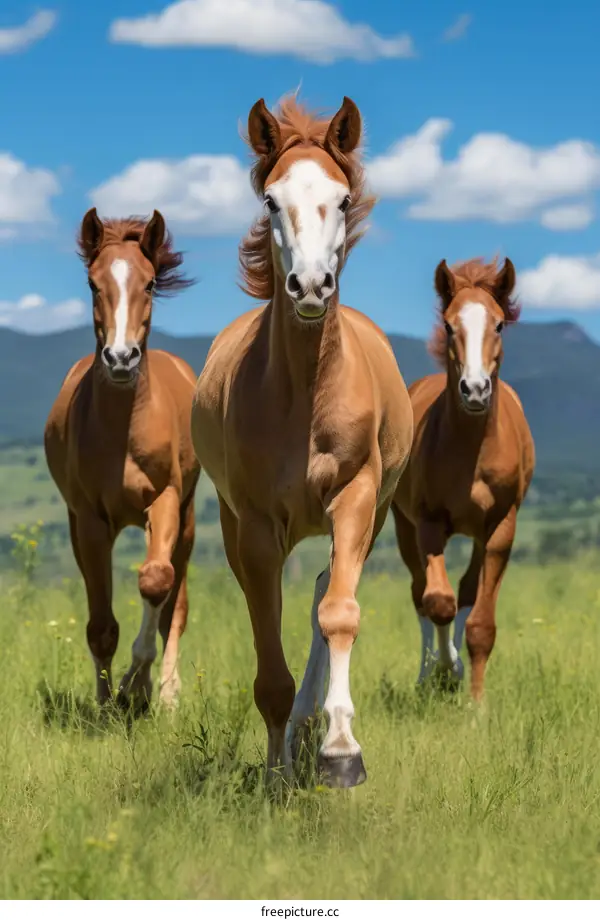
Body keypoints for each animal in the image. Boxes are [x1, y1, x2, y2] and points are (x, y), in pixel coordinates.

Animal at [44, 208, 200, 713]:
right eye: (93, 284)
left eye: (149, 283)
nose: (120, 358)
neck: (124, 429)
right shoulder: (91, 521)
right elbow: (101, 626)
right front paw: (108, 702)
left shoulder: (165, 501)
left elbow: (156, 581)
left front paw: (138, 682)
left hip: (187, 523)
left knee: (175, 606)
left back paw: (165, 694)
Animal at [190, 94, 414, 789]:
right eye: (270, 198)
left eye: (342, 199)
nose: (311, 286)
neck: (308, 394)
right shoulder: (257, 527)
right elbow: (269, 661)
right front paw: (276, 772)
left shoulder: (357, 498)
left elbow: (339, 613)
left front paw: (341, 751)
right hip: (240, 526)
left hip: (368, 517)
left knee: (325, 593)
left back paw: (317, 728)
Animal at [391, 257, 535, 701]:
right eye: (450, 325)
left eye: (499, 324)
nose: (474, 390)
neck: (473, 450)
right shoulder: (428, 522)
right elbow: (438, 602)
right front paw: (447, 668)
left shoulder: (501, 527)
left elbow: (480, 623)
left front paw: (476, 704)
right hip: (404, 527)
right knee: (420, 595)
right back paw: (429, 675)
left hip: (479, 535)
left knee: (468, 590)